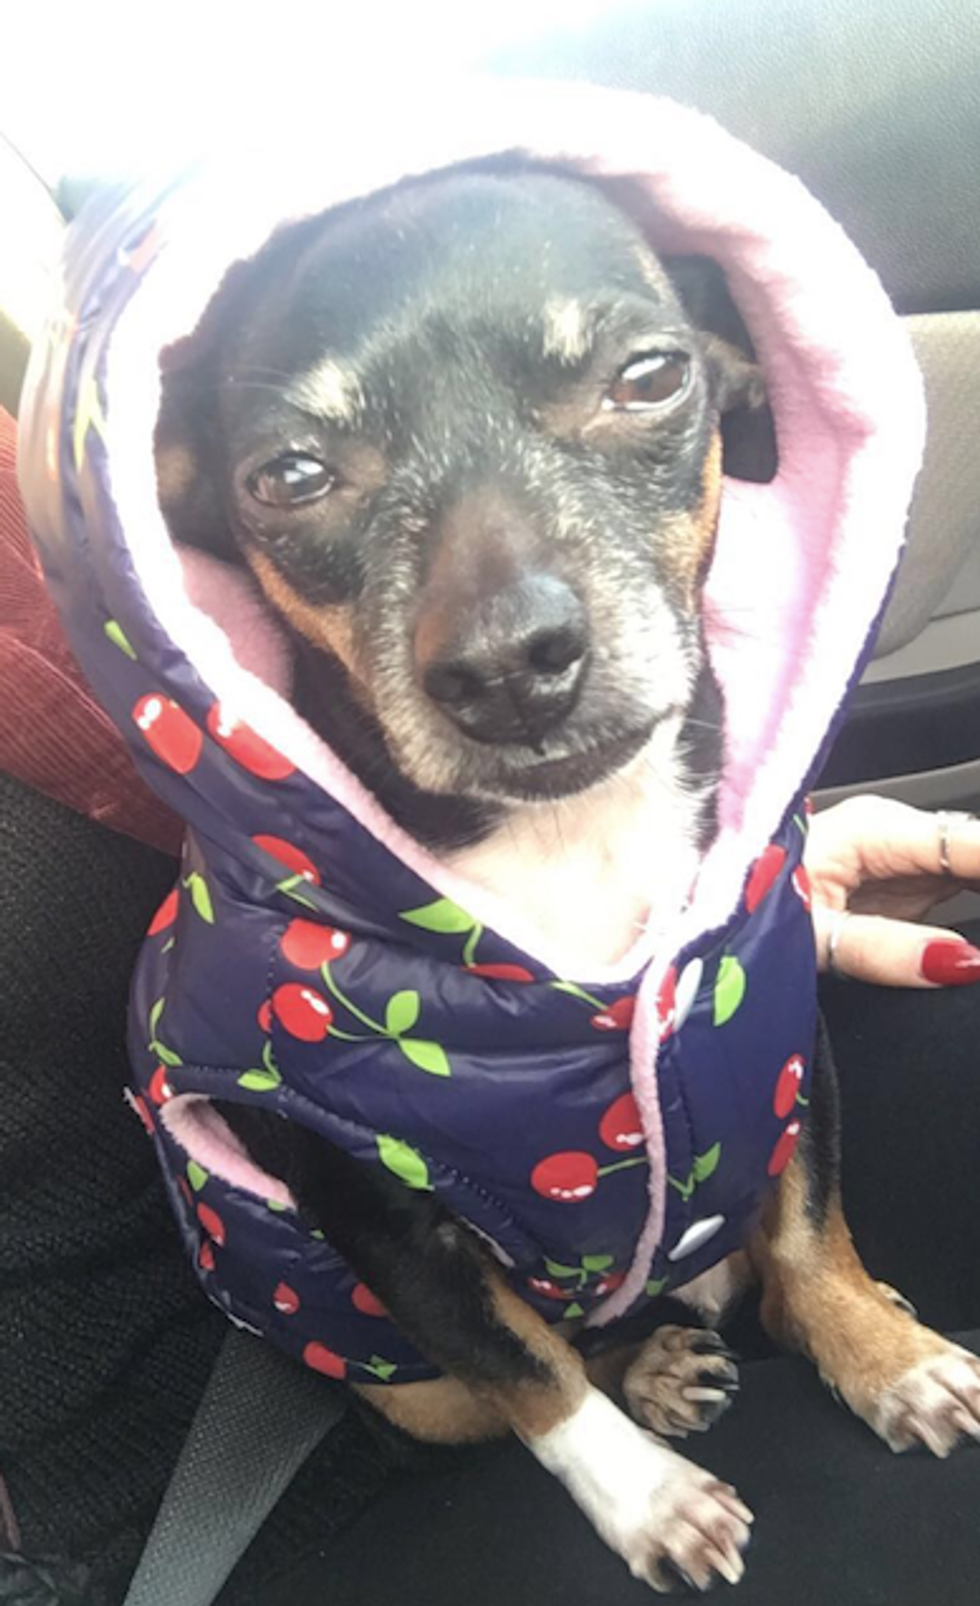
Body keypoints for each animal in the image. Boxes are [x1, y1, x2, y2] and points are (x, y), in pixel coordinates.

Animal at [155, 165, 980, 1592]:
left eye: (648, 375)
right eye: (289, 476)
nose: (503, 660)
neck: (572, 843)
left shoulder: (781, 1046)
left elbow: (808, 1234)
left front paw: (883, 1355)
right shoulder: (379, 1214)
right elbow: (525, 1373)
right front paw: (646, 1498)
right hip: (378, 1374)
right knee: (507, 1382)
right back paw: (642, 1368)